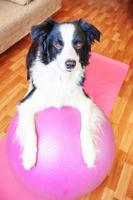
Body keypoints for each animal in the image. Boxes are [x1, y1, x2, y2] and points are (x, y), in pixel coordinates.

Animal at [16, 18, 103, 170]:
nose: (70, 64)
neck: (61, 77)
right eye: (57, 44)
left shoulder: (86, 102)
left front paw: (89, 153)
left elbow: (85, 130)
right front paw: (29, 157)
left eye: (78, 43)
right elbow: (31, 132)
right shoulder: (26, 105)